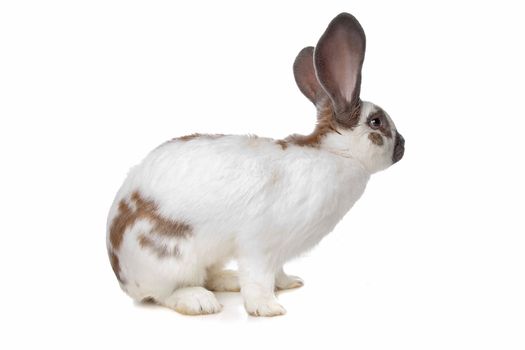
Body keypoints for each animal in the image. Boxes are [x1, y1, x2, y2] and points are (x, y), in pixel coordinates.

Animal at [104, 11, 404, 318]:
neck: (336, 153)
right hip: (169, 260)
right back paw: (199, 300)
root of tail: (121, 271)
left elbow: (278, 271)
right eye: (377, 122)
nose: (403, 146)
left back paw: (229, 280)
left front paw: (290, 283)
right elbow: (258, 279)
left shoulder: (279, 251)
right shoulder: (259, 245)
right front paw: (268, 308)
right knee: (162, 294)